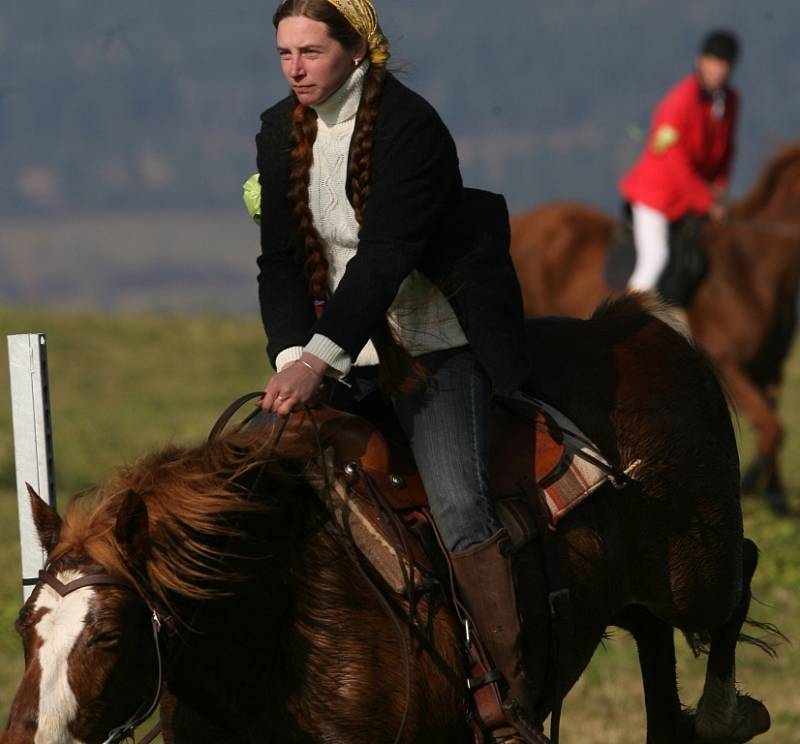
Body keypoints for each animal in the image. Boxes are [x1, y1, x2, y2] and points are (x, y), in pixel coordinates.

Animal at [1, 296, 776, 744]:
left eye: (108, 634)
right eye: (23, 627)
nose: (26, 740)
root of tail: (647, 332)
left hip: (693, 575)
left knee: (740, 574)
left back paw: (724, 714)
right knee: (654, 645)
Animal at [510, 143, 800, 512]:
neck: (753, 265)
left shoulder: (770, 369)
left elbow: (772, 428)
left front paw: (775, 495)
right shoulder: (729, 364)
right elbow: (772, 428)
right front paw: (751, 485)